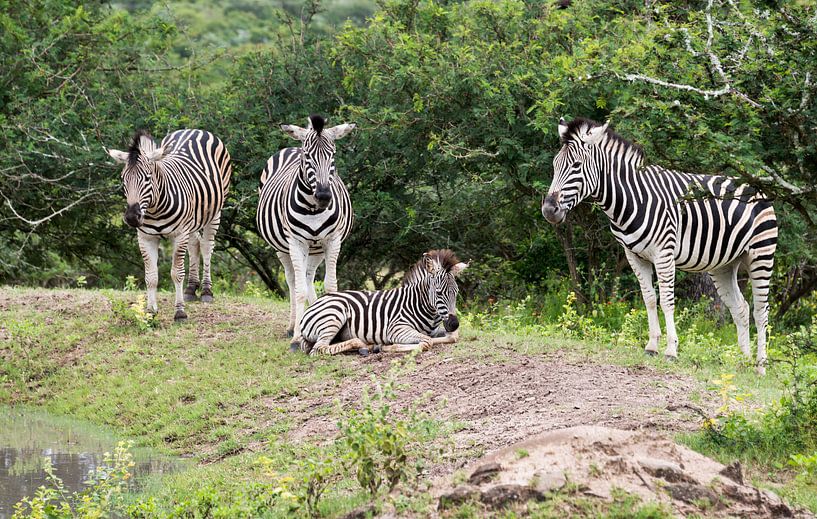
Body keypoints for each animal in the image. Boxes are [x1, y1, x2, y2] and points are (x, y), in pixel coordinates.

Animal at [105, 129, 231, 320]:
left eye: (148, 178)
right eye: (123, 179)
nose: (132, 217)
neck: (155, 209)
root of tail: (193, 130)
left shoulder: (179, 235)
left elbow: (176, 273)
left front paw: (180, 312)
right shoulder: (146, 238)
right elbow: (151, 276)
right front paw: (150, 311)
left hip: (215, 212)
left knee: (207, 247)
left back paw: (206, 291)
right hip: (192, 221)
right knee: (194, 246)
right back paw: (191, 289)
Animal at [256, 114, 356, 342]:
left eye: (333, 155)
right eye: (308, 156)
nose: (324, 196)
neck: (313, 208)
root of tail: (292, 147)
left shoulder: (332, 241)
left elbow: (330, 286)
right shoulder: (296, 242)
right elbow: (299, 289)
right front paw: (296, 337)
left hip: (316, 248)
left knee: (309, 276)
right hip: (282, 247)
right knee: (294, 279)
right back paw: (293, 326)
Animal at [294, 249, 466, 356]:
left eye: (456, 292)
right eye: (439, 292)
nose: (454, 324)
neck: (418, 303)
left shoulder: (436, 330)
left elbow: (452, 336)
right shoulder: (396, 329)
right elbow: (426, 342)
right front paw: (388, 346)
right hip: (333, 314)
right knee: (318, 349)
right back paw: (364, 345)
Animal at [540, 120, 776, 376]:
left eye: (576, 165)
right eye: (555, 165)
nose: (549, 210)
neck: (630, 199)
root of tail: (755, 186)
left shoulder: (664, 254)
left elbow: (667, 301)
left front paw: (671, 350)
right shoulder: (634, 256)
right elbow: (650, 299)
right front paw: (652, 346)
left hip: (761, 256)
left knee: (761, 311)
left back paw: (760, 367)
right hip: (724, 265)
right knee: (740, 308)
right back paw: (743, 362)